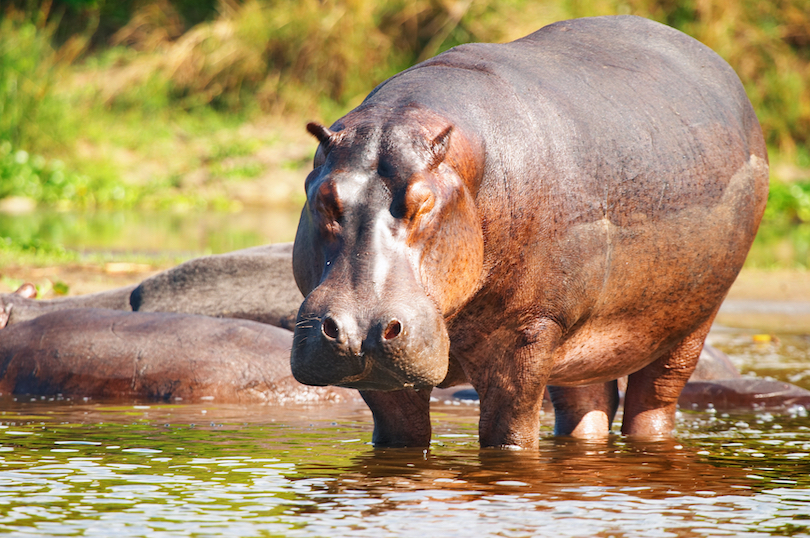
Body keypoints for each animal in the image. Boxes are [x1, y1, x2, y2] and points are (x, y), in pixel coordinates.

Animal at [290, 15, 769, 448]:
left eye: (423, 201)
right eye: (323, 197)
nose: (358, 331)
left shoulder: (530, 330)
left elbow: (509, 434)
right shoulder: (385, 377)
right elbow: (400, 435)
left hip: (690, 322)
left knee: (654, 402)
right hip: (578, 347)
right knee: (586, 407)